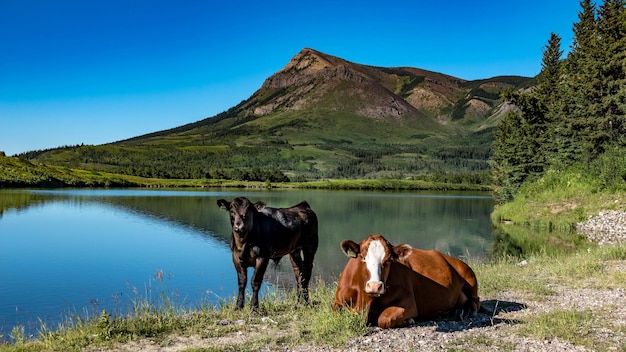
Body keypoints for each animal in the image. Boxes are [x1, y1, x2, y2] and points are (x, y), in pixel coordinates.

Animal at [332, 235, 478, 328]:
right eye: (362, 257)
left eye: (389, 259)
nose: (374, 286)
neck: (364, 300)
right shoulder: (338, 301)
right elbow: (337, 313)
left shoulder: (408, 302)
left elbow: (384, 319)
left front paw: (410, 320)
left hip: (469, 275)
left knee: (475, 302)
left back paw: (461, 312)